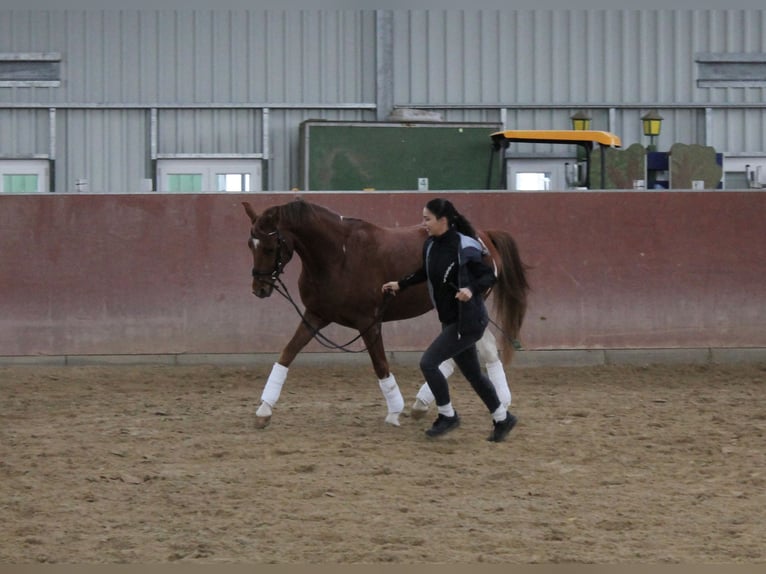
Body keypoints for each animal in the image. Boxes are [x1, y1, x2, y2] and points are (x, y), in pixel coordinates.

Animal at [243, 197, 530, 428]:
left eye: (269, 247)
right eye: (250, 245)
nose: (259, 288)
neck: (339, 257)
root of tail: (483, 236)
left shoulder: (369, 322)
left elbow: (380, 365)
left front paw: (394, 411)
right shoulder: (315, 316)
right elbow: (287, 354)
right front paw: (264, 411)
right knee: (476, 349)